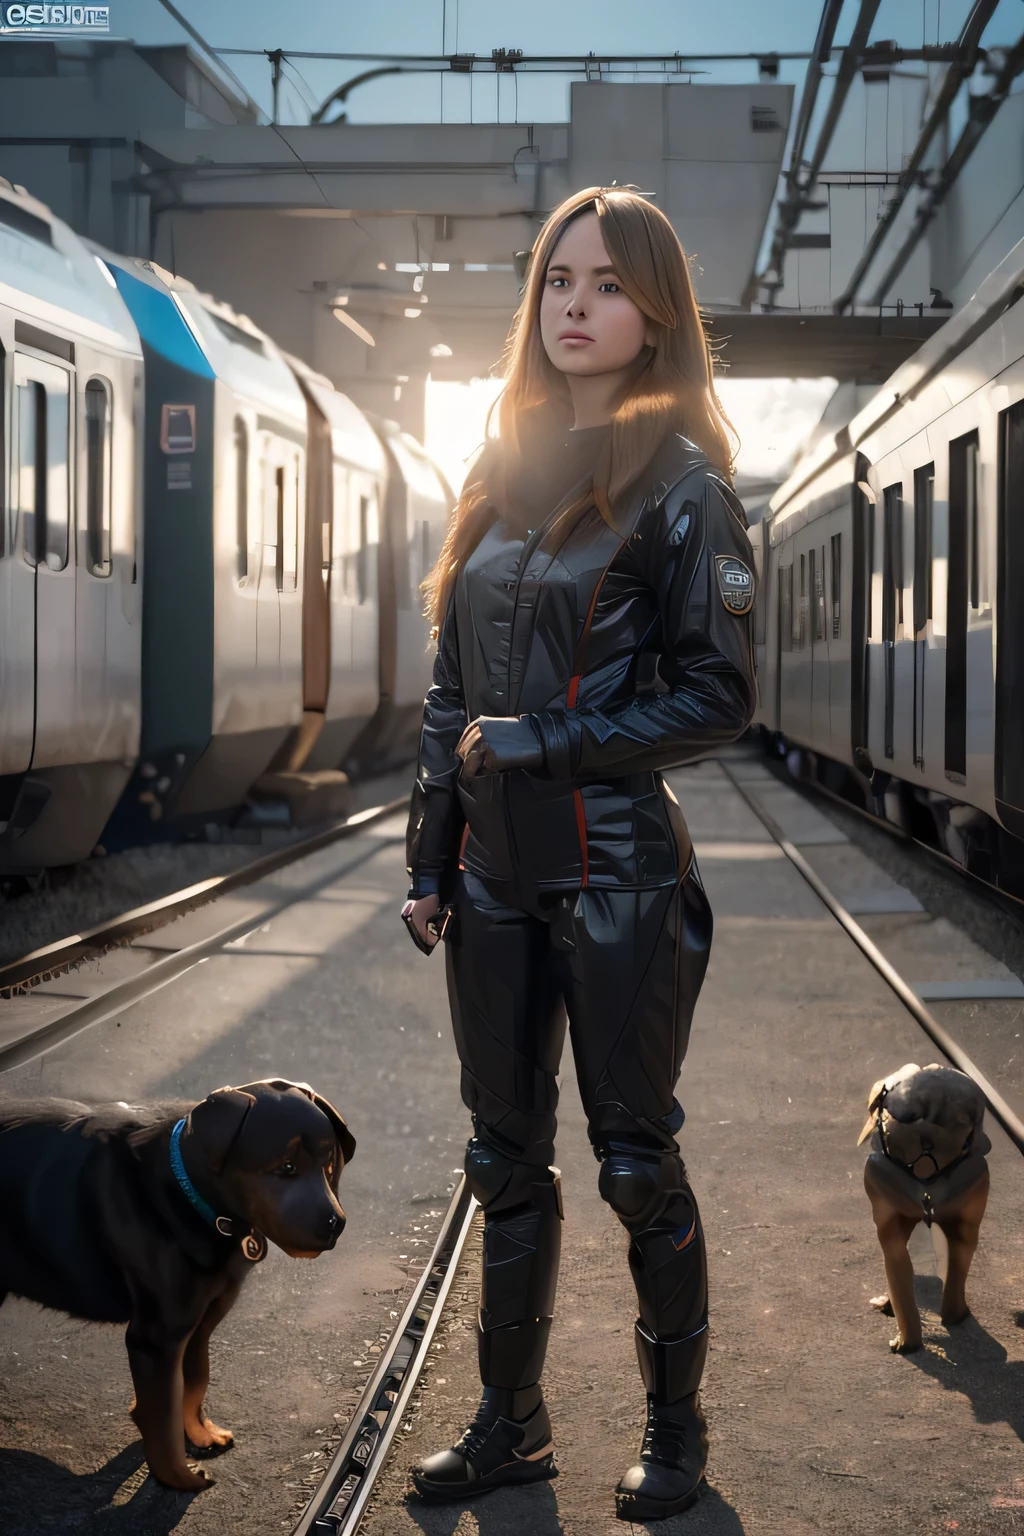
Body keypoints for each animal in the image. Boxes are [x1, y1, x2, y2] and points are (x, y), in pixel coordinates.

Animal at [0, 1081, 356, 1486]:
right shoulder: (155, 1338)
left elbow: (194, 1385)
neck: (191, 1198)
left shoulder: (199, 1323)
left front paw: (201, 1435)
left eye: (330, 1166)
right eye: (287, 1167)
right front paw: (180, 1479)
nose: (337, 1224)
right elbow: (162, 1416)